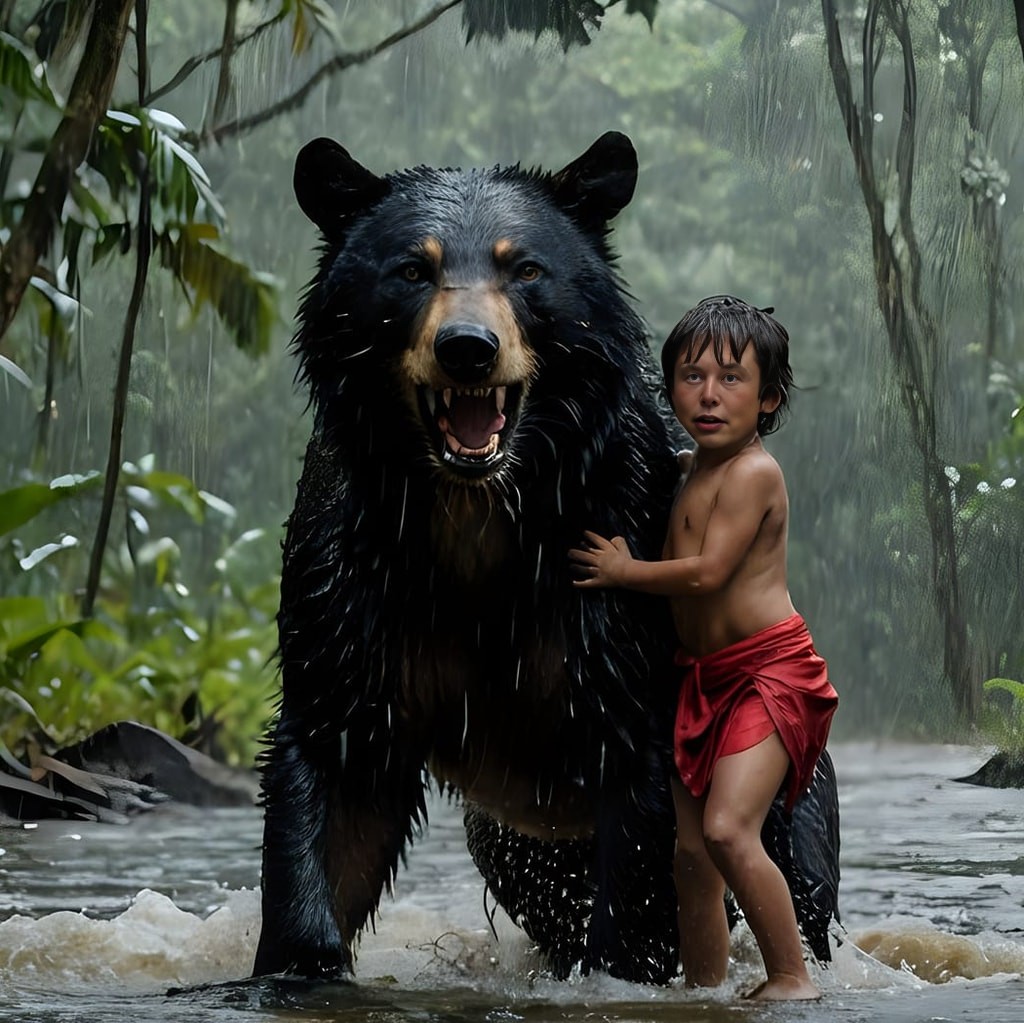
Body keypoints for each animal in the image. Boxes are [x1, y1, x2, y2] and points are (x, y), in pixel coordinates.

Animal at [256, 134, 839, 983]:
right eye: (412, 267)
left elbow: (641, 823)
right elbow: (338, 779)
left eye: (524, 267)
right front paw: (302, 959)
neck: (475, 514)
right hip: (514, 840)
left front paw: (623, 965)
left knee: (797, 875)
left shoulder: (611, 593)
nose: (468, 348)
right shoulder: (358, 583)